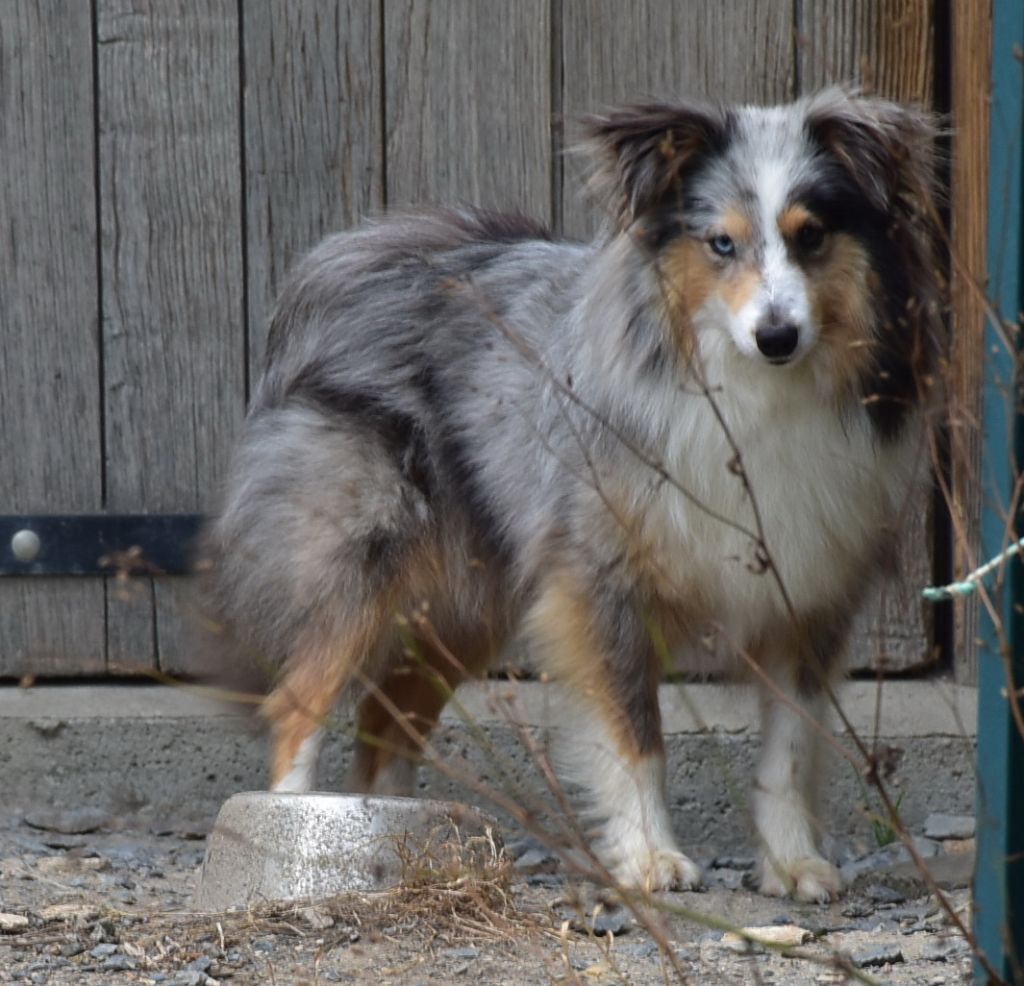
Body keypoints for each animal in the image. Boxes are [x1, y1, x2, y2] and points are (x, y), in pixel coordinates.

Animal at [203, 90, 937, 901]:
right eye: (721, 243)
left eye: (812, 237)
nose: (778, 336)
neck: (745, 391)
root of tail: (360, 255)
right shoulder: (600, 584)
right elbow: (635, 735)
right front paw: (650, 859)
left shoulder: (806, 602)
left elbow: (789, 751)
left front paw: (792, 864)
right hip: (360, 565)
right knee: (299, 705)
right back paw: (294, 838)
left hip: (467, 603)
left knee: (385, 723)